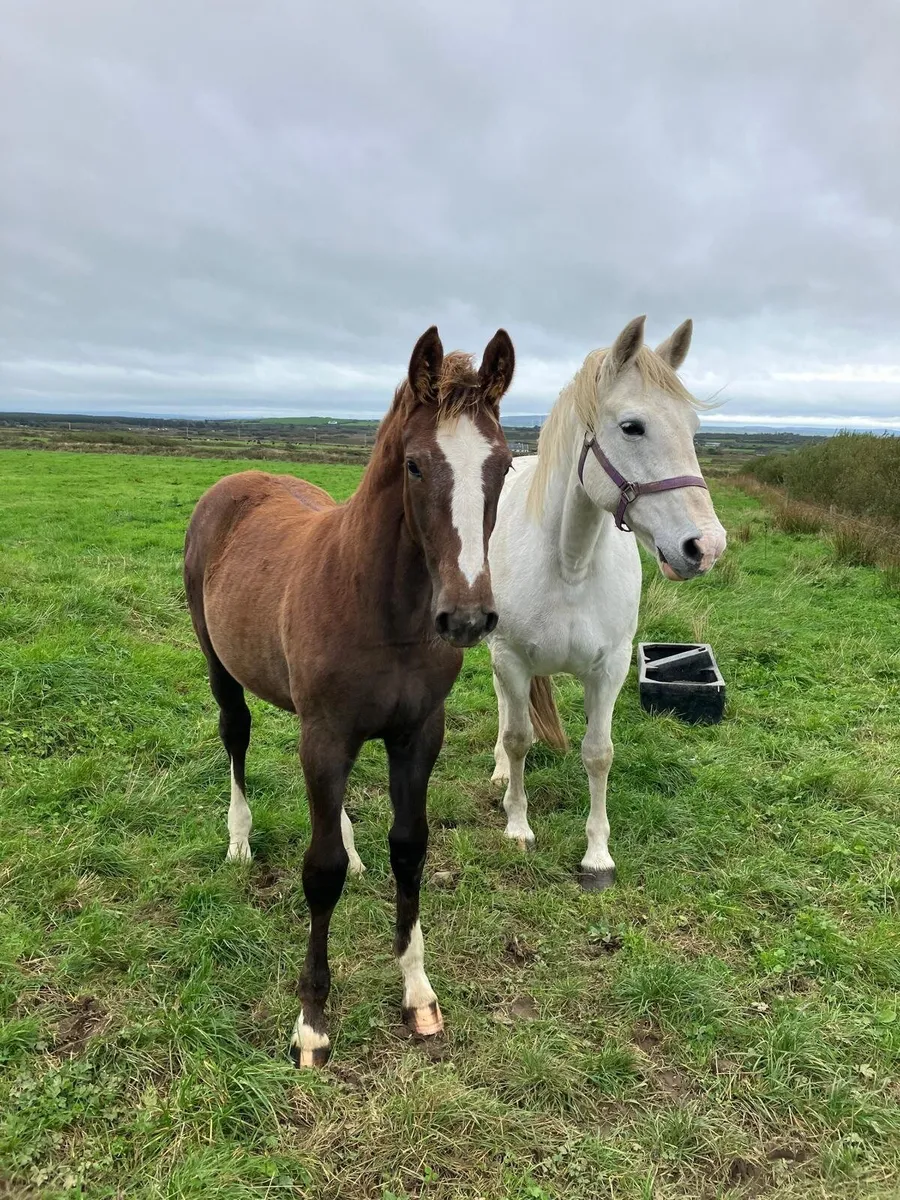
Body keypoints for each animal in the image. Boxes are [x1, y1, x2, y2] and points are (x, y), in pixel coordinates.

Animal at [183, 326, 515, 1066]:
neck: (382, 608)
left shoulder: (417, 732)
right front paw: (311, 1019)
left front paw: (418, 993)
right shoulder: (327, 734)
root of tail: (235, 483)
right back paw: (239, 840)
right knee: (234, 733)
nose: (467, 618)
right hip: (223, 668)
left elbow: (410, 849)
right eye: (415, 466)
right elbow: (321, 871)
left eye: (505, 466)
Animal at [486, 316, 726, 889]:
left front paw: (597, 855)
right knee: (504, 706)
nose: (706, 547)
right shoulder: (511, 656)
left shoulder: (611, 667)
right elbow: (519, 736)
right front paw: (518, 826)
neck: (569, 564)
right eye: (632, 427)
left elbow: (598, 755)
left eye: (693, 430)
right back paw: (501, 773)